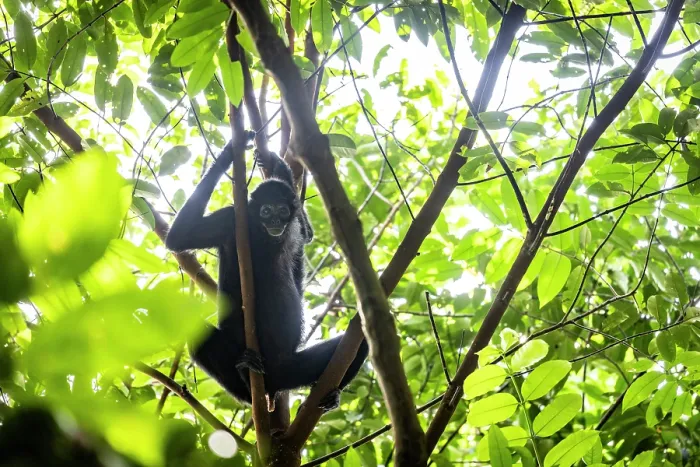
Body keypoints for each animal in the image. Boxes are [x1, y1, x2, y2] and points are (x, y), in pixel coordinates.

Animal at [165, 141, 368, 411]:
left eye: (281, 210)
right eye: (266, 210)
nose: (274, 221)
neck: (263, 237)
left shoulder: (291, 229)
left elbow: (305, 238)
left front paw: (275, 163)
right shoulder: (230, 218)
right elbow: (179, 237)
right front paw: (231, 150)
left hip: (293, 367)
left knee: (362, 339)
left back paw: (330, 396)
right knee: (197, 337)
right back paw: (246, 379)